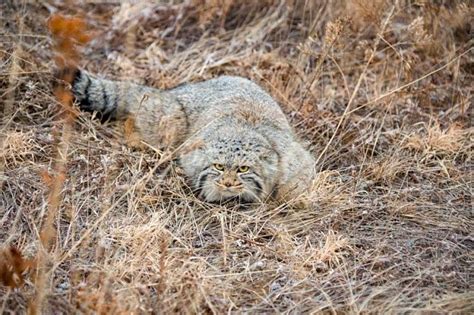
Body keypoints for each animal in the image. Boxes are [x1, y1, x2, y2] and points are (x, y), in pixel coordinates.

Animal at [68, 69, 314, 205]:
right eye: (218, 166)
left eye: (243, 169)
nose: (228, 184)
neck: (241, 127)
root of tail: (169, 92)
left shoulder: (298, 161)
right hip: (169, 123)